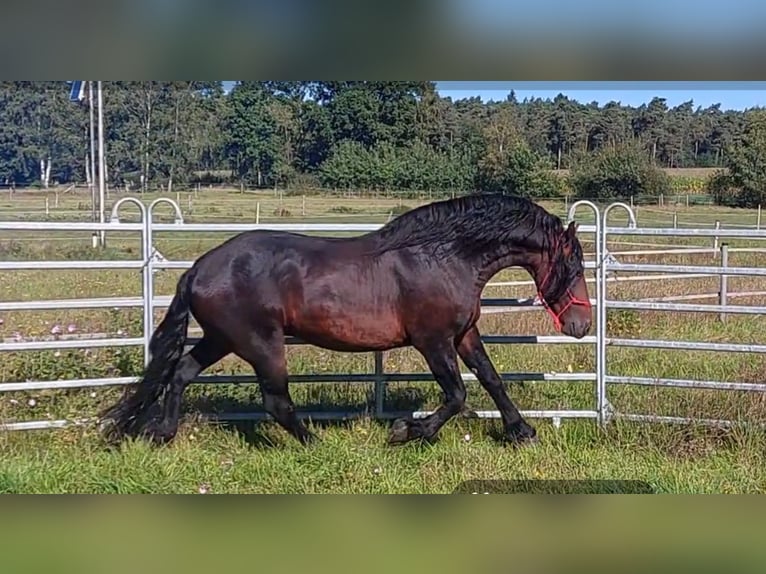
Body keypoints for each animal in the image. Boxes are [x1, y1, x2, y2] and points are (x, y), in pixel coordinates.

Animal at [100, 194, 592, 450]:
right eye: (574, 266)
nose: (582, 325)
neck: (443, 256)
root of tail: (198, 269)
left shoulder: (463, 334)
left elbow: (492, 380)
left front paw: (522, 431)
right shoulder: (432, 341)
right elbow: (456, 395)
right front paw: (405, 431)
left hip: (221, 338)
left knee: (180, 373)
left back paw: (161, 434)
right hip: (260, 342)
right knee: (276, 400)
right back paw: (316, 444)